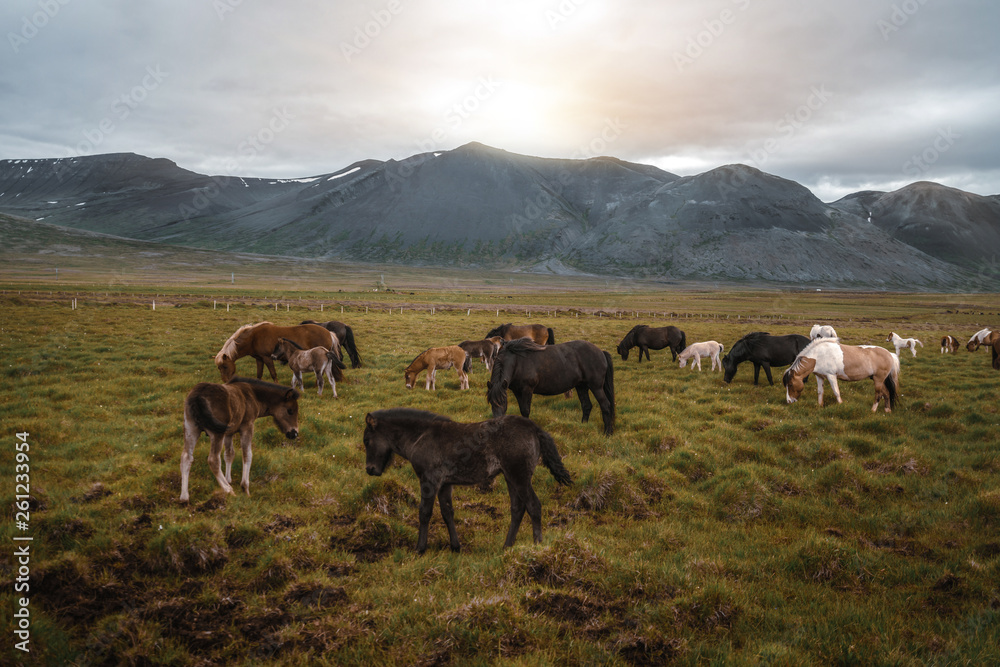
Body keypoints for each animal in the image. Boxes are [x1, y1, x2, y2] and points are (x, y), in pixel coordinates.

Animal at [364, 410, 576, 556]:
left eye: (367, 440)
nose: (370, 470)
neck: (421, 436)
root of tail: (534, 427)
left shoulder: (430, 480)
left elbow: (424, 513)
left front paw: (420, 549)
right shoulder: (445, 484)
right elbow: (447, 513)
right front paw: (455, 547)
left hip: (519, 476)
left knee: (533, 505)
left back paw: (537, 544)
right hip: (510, 477)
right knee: (517, 508)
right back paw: (507, 546)